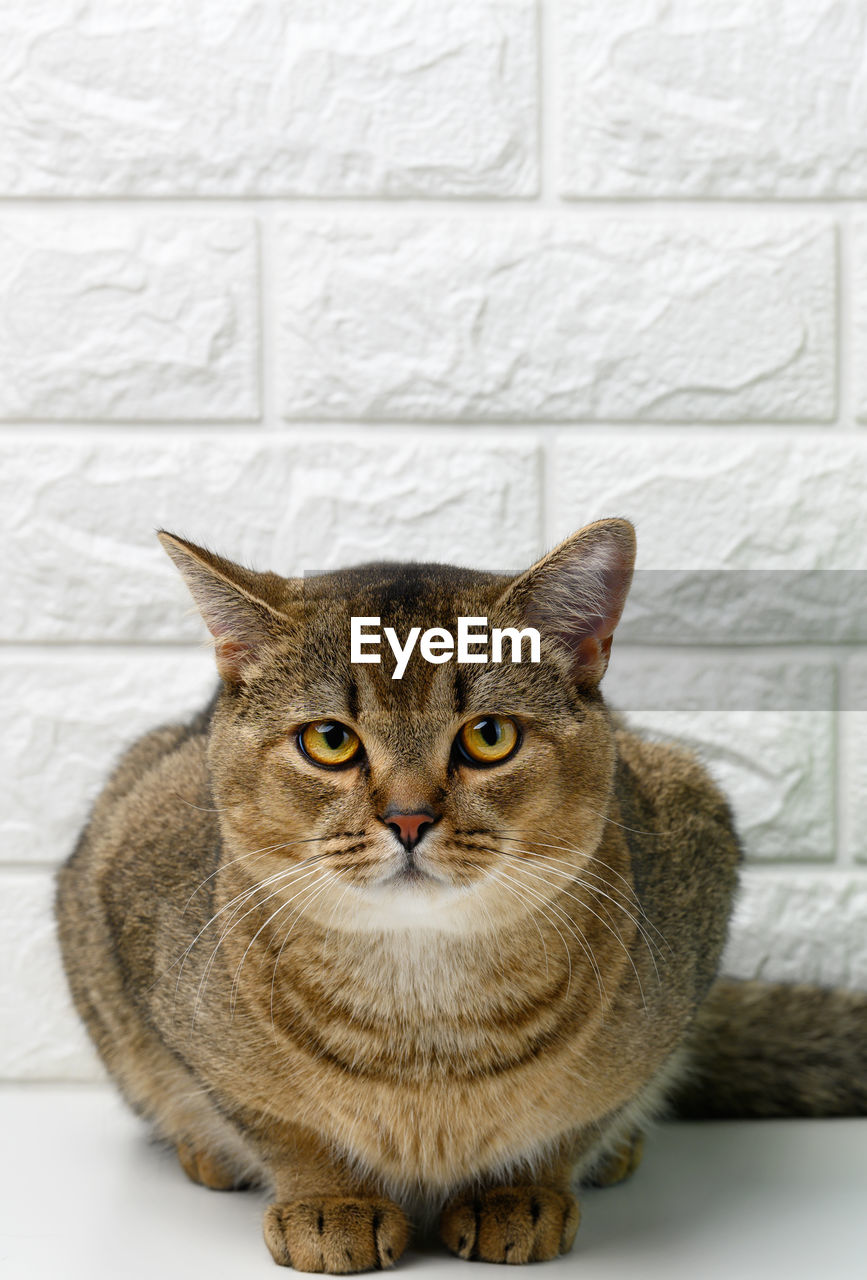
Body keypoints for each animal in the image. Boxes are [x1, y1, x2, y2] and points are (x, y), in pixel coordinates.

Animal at [55, 519, 865, 1269]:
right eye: (329, 741)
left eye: (489, 736)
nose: (409, 818)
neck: (425, 1021)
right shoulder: (138, 920)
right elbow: (282, 1128)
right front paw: (330, 1202)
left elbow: (569, 1123)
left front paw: (519, 1191)